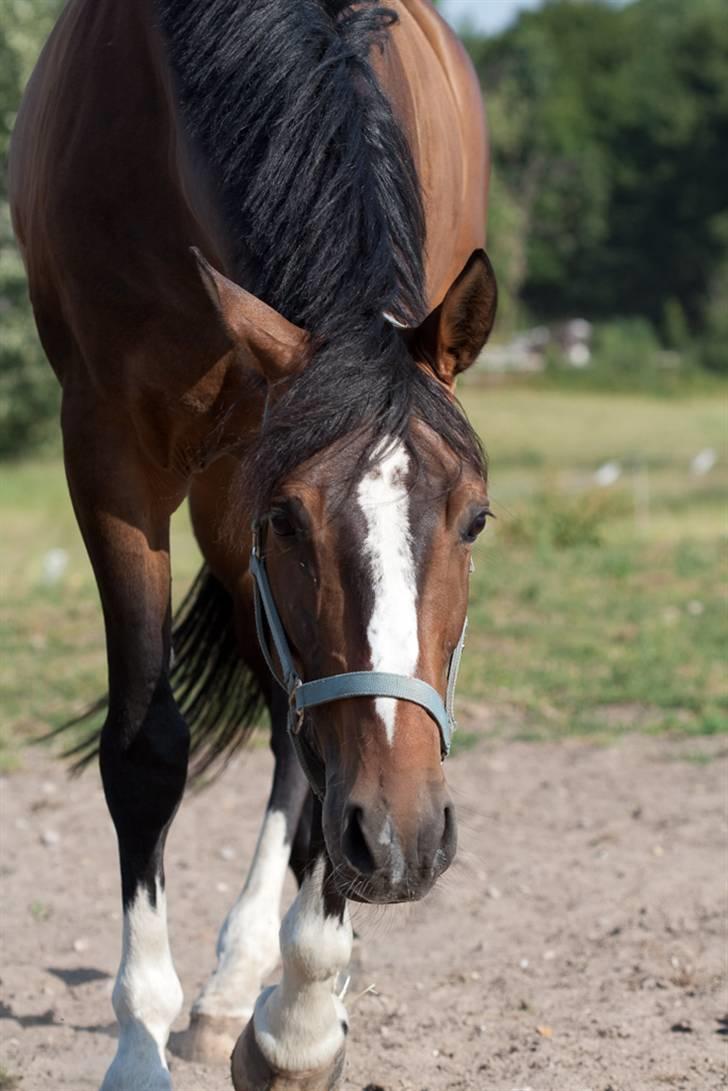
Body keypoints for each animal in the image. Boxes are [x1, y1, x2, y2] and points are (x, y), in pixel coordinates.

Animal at [9, 2, 495, 1091]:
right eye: (290, 519)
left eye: (475, 518)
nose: (402, 840)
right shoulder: (112, 444)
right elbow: (147, 748)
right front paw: (138, 1046)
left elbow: (325, 746)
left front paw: (301, 1022)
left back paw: (255, 981)